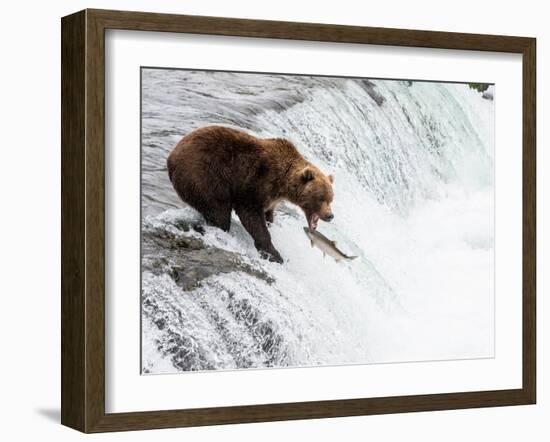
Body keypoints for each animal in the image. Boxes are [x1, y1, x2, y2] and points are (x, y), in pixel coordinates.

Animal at [167, 124, 336, 262]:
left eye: (331, 199)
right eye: (321, 198)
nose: (330, 215)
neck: (283, 183)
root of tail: (172, 155)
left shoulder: (271, 198)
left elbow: (268, 214)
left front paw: (270, 226)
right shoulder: (257, 182)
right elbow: (251, 215)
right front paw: (274, 254)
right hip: (204, 175)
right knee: (218, 212)